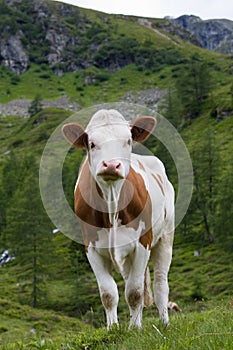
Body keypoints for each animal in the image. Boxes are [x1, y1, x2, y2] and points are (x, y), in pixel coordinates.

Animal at [62, 109, 175, 328]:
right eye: (92, 143)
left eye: (128, 140)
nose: (112, 165)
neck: (111, 204)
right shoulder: (91, 247)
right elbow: (109, 294)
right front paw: (113, 328)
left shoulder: (143, 243)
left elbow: (134, 292)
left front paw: (134, 329)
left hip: (165, 237)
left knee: (159, 284)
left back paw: (164, 322)